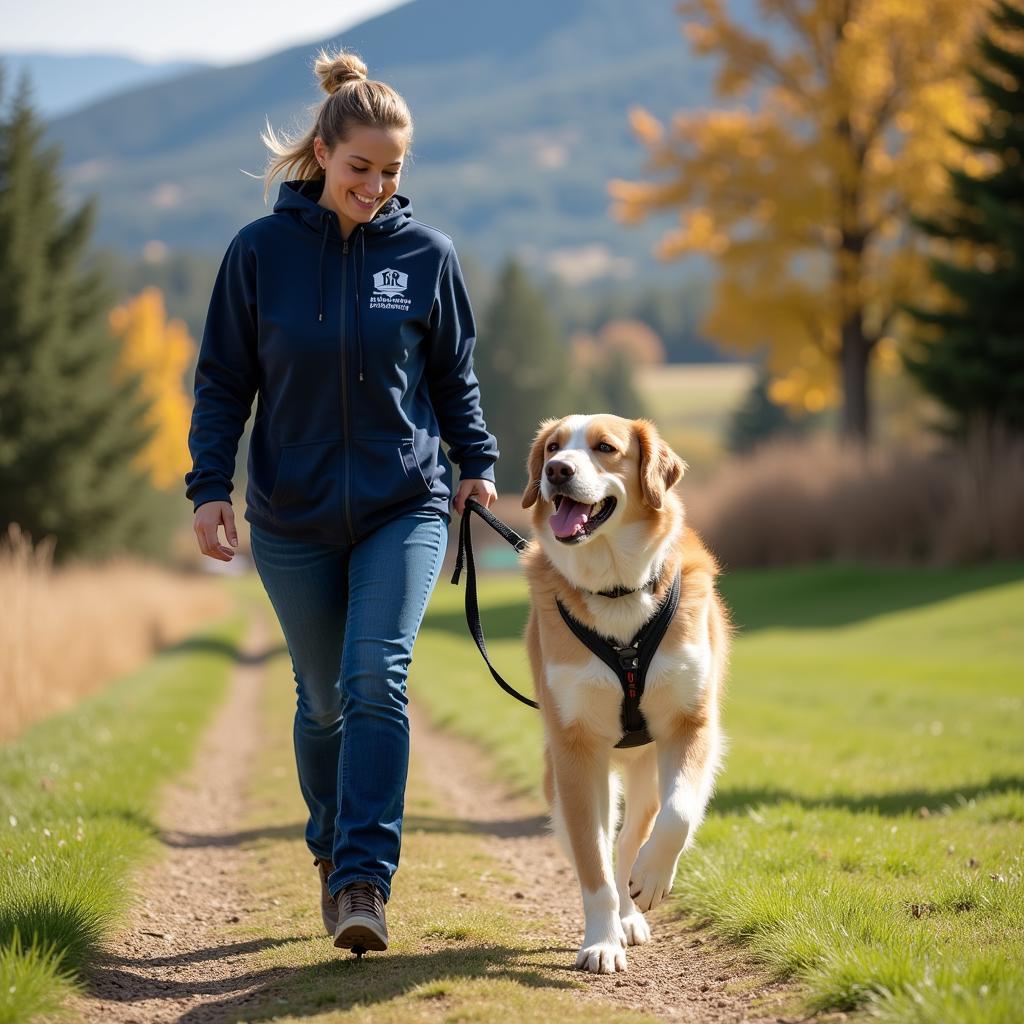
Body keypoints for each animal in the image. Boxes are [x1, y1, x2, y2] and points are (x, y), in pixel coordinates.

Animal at [520, 411, 729, 970]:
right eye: (552, 447)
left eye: (605, 448)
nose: (556, 471)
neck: (617, 589)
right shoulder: (574, 751)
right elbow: (591, 864)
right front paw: (600, 941)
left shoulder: (691, 725)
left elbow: (679, 816)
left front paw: (652, 880)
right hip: (565, 780)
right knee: (596, 847)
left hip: (645, 776)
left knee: (631, 841)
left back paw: (634, 908)